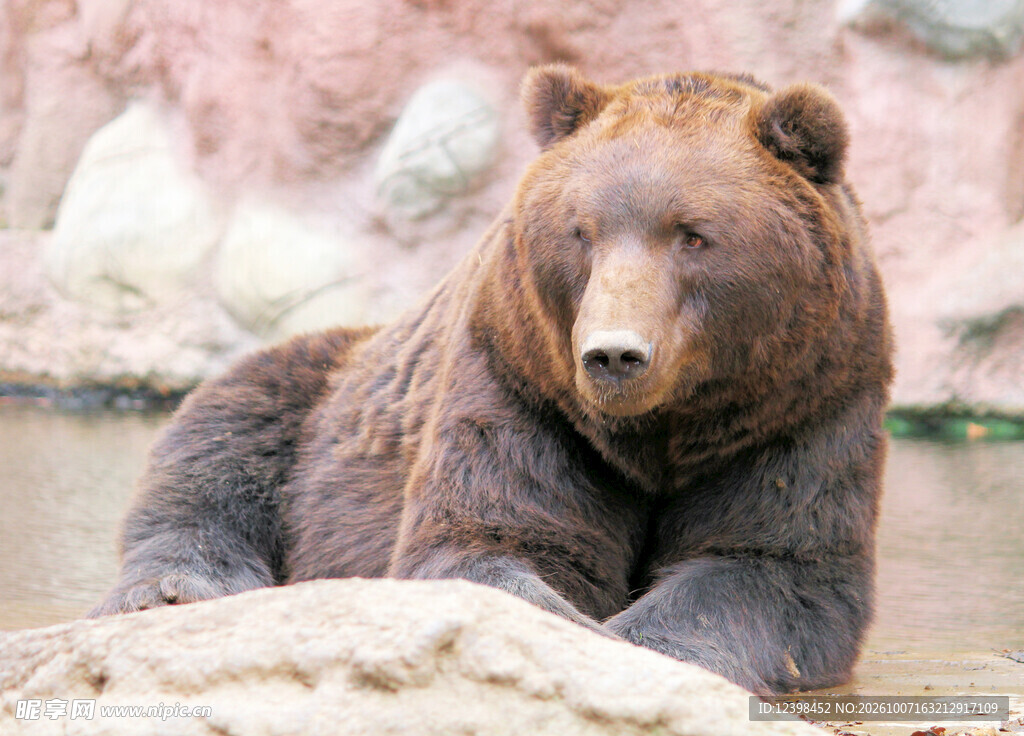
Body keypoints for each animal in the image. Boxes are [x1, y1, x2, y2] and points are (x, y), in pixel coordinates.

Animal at [89, 65, 894, 696]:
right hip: (318, 400)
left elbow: (770, 564)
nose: (614, 354)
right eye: (582, 231)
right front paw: (579, 629)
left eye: (693, 234)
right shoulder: (523, 386)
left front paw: (641, 638)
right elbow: (489, 540)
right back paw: (177, 589)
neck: (659, 435)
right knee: (221, 441)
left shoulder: (801, 407)